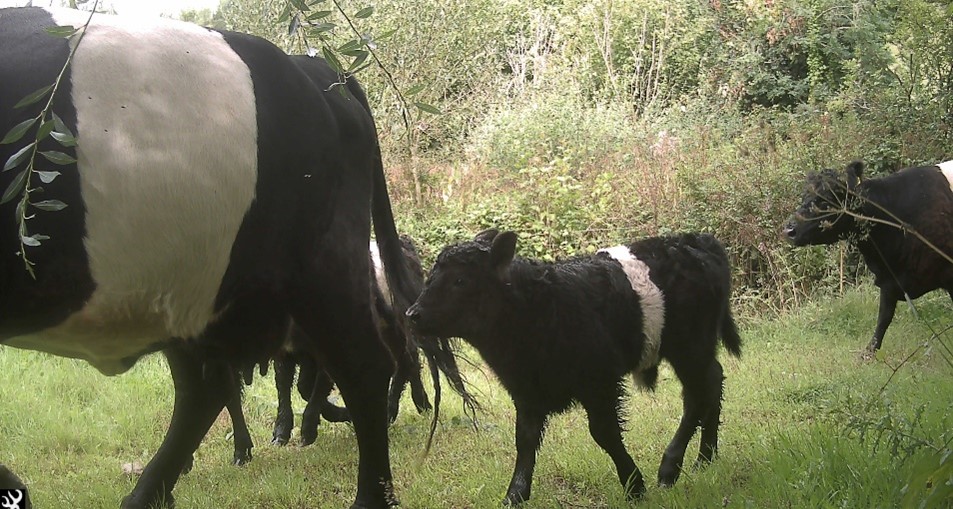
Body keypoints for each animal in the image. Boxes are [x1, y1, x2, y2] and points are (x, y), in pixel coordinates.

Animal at [406, 230, 740, 504]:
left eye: (460, 280)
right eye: (430, 276)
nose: (412, 314)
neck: (539, 308)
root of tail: (696, 240)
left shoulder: (599, 382)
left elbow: (604, 433)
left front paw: (634, 485)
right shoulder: (526, 390)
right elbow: (524, 440)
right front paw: (514, 495)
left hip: (690, 347)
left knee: (698, 395)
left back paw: (670, 468)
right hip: (695, 350)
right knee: (713, 382)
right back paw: (705, 458)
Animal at [780, 161, 952, 356]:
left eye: (826, 200)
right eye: (803, 197)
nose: (789, 230)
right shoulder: (888, 281)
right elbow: (883, 318)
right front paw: (868, 354)